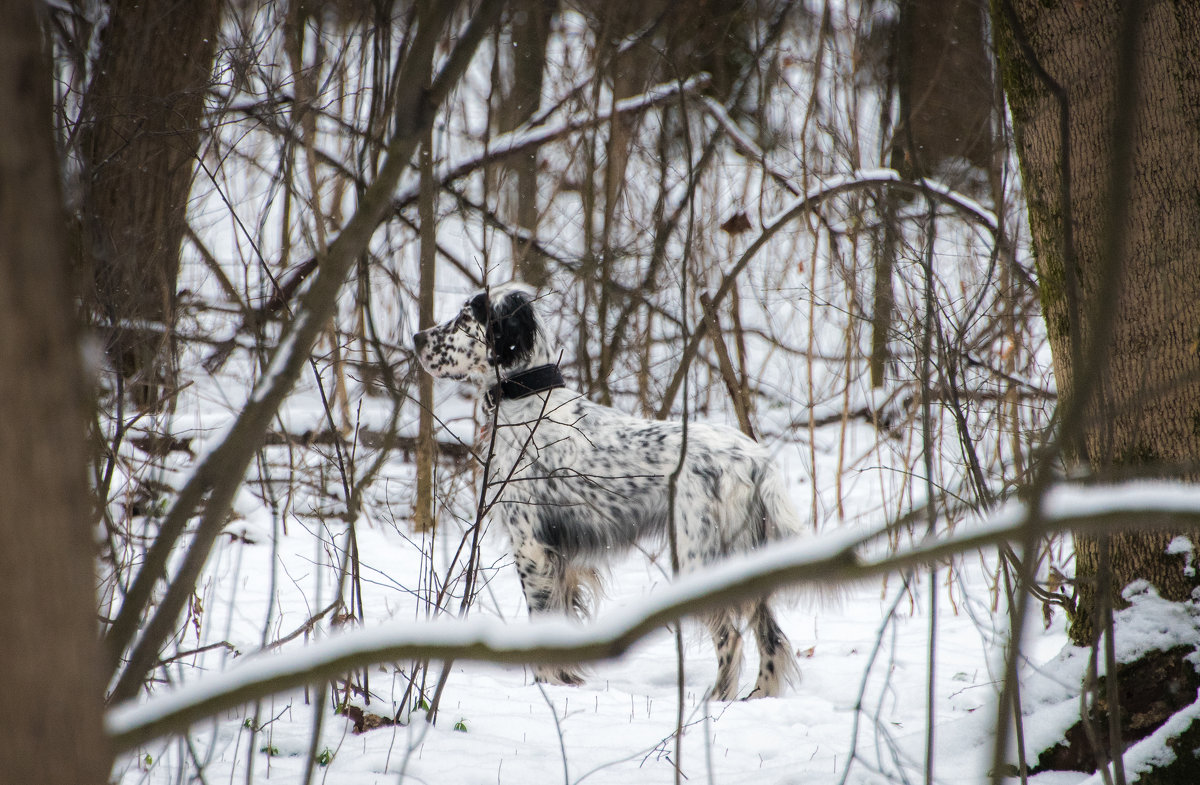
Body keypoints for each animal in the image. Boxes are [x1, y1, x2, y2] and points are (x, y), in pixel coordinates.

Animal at [415, 283, 806, 700]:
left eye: (464, 318)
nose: (416, 338)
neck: (529, 401)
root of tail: (756, 458)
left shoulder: (531, 546)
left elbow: (542, 617)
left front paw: (546, 685)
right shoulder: (562, 559)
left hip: (699, 557)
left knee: (732, 637)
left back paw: (715, 701)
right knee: (771, 637)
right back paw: (757, 698)